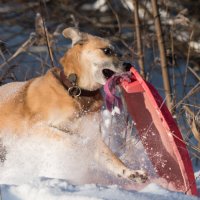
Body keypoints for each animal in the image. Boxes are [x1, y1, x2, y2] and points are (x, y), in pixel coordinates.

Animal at [0, 27, 147, 183]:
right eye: (107, 51)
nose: (129, 65)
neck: (77, 91)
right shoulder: (37, 127)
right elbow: (71, 139)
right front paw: (80, 149)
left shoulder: (93, 135)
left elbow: (112, 159)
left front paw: (131, 172)